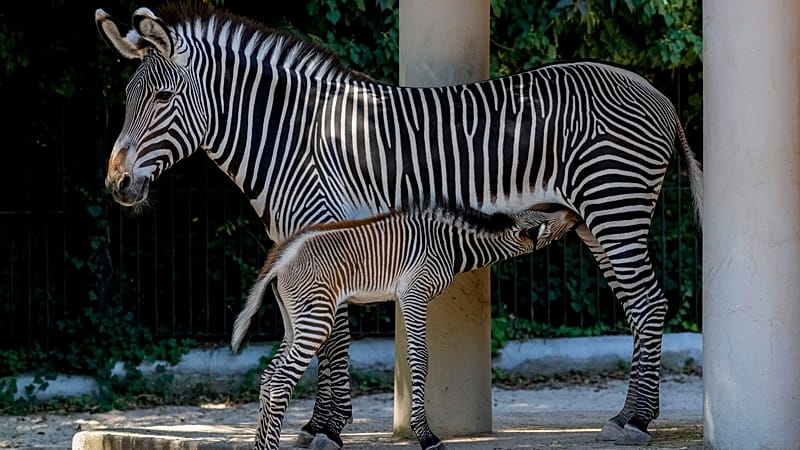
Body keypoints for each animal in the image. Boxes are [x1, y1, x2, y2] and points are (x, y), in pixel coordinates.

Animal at [230, 207, 579, 450]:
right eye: (546, 224)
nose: (574, 215)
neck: (451, 245)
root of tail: (282, 256)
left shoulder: (408, 296)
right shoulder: (414, 294)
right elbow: (420, 359)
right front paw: (427, 437)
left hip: (296, 320)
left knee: (268, 377)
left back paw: (261, 445)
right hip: (316, 318)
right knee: (279, 382)